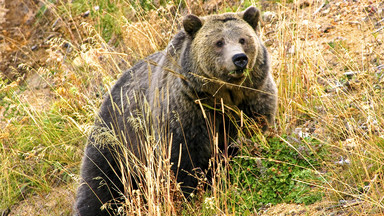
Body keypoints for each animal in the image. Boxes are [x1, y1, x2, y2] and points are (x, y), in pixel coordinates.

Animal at [74, 5, 276, 215]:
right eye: (219, 42)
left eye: (243, 39)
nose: (239, 58)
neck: (221, 97)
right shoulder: (184, 115)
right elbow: (181, 161)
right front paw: (191, 195)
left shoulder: (252, 100)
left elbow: (251, 133)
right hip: (116, 139)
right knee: (100, 185)